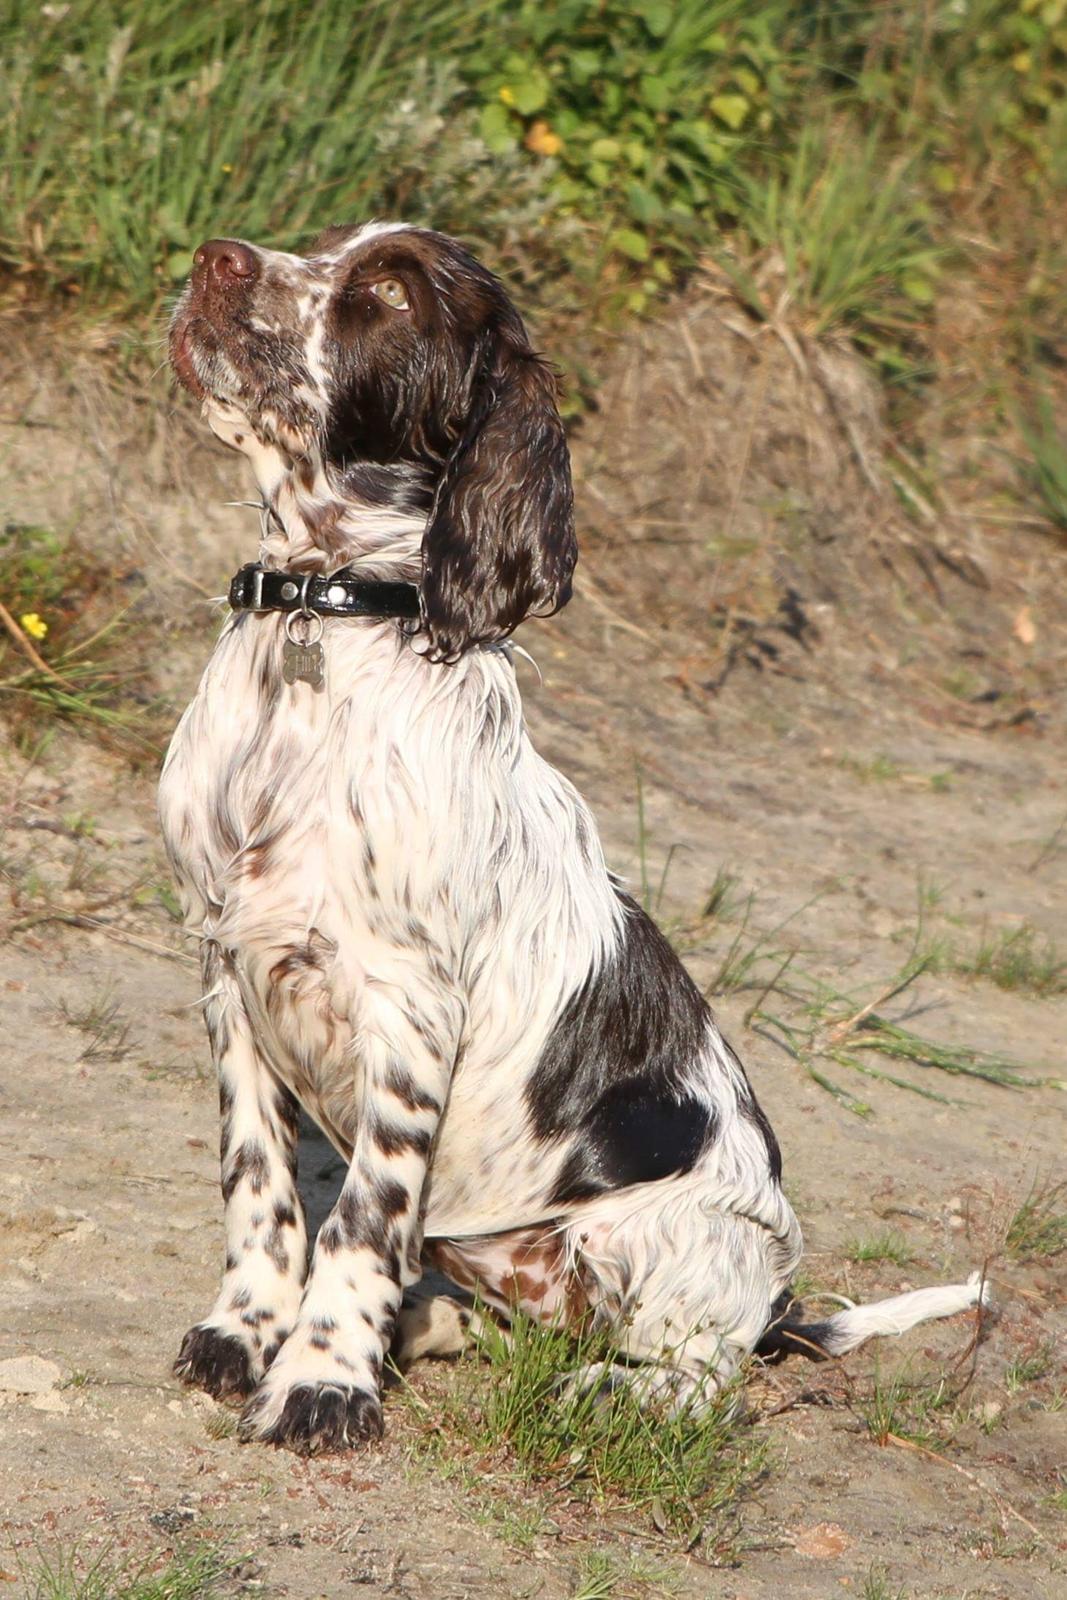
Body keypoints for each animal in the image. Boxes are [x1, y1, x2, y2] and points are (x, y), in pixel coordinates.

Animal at [160, 219, 991, 1459]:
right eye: (317, 247)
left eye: (388, 295)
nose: (215, 256)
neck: (321, 627)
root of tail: (781, 1302)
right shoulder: (230, 963)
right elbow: (258, 1183)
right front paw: (246, 1331)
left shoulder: (407, 1008)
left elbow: (359, 1216)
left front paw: (321, 1382)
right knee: (522, 1322)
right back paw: (425, 1326)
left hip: (655, 1237)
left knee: (698, 1376)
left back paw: (600, 1389)